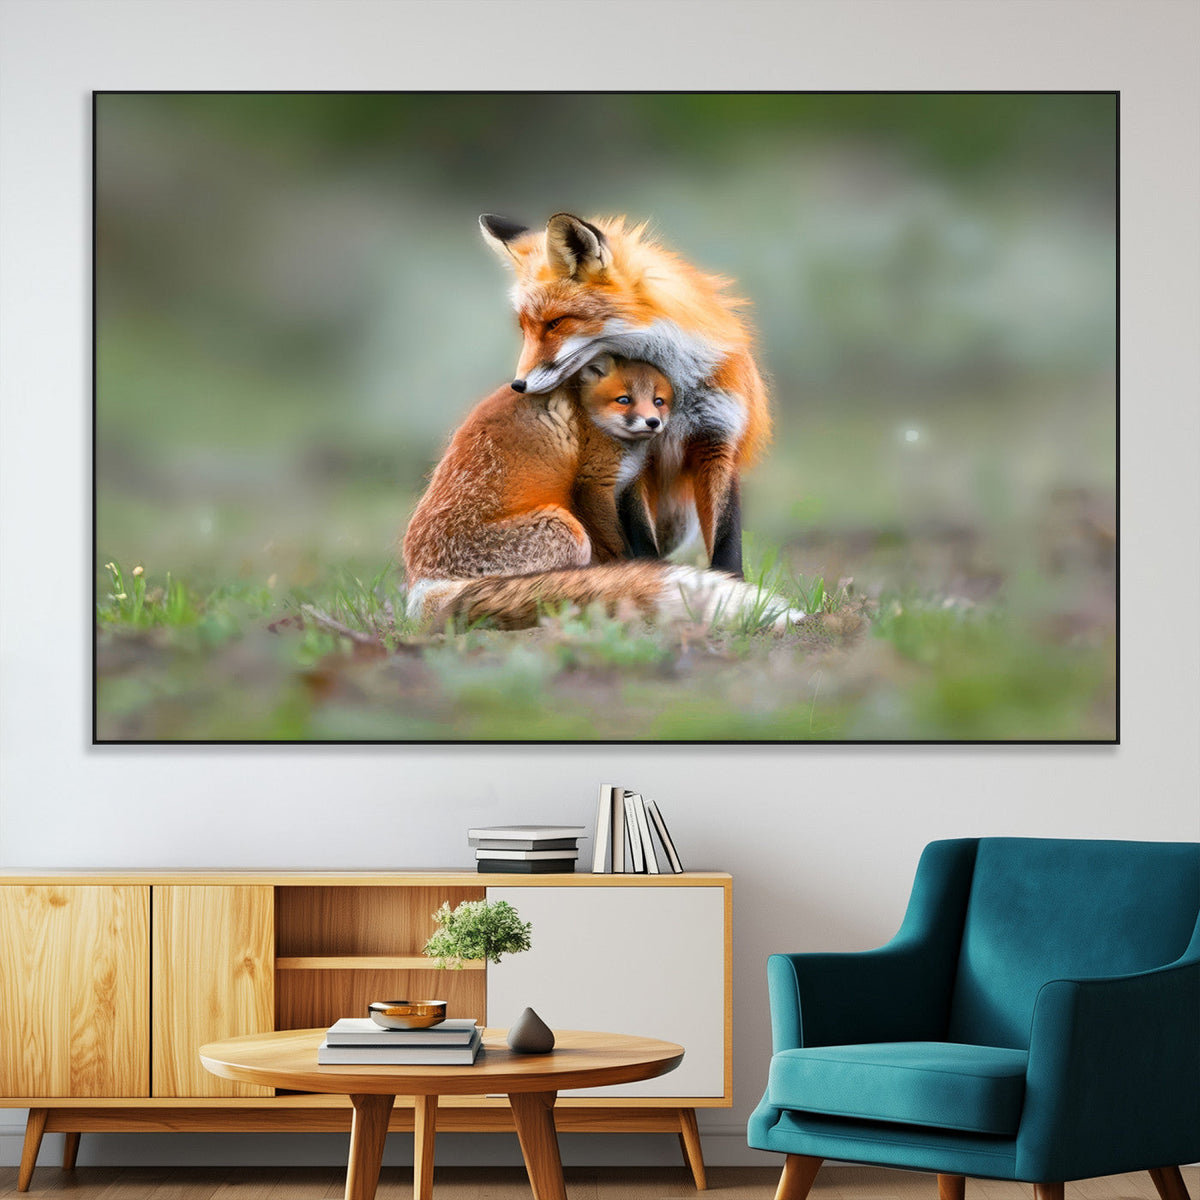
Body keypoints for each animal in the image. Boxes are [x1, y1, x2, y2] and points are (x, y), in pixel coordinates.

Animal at [479, 211, 772, 579]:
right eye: (525, 329)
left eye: (555, 323)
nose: (518, 385)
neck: (674, 390)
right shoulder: (633, 459)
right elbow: (641, 539)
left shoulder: (717, 443)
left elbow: (726, 541)